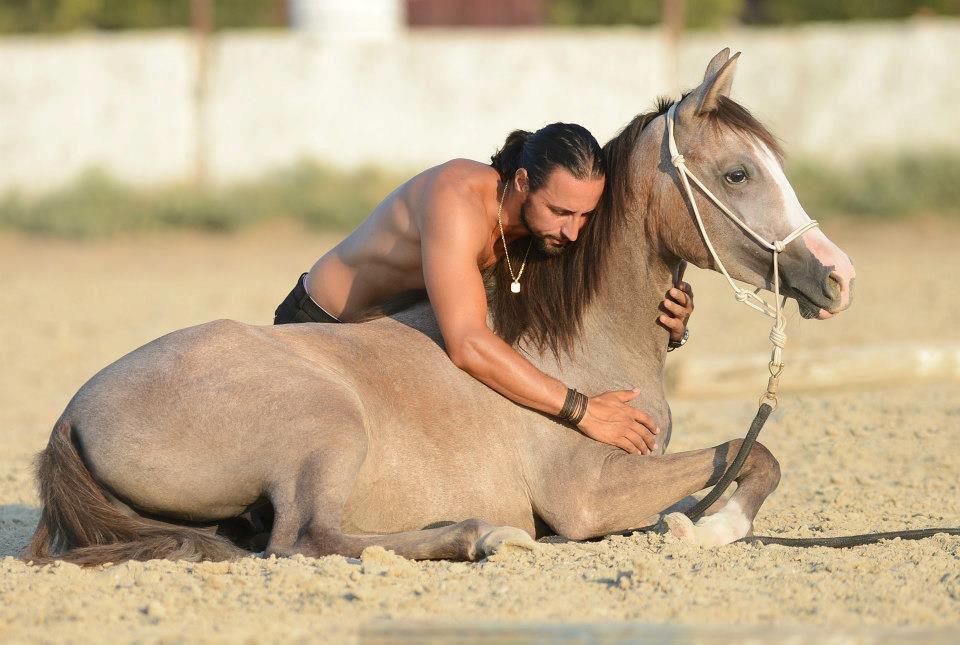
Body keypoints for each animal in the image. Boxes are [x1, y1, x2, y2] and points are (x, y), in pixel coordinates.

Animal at [28, 49, 856, 564]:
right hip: (324, 427)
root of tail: (73, 410)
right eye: (739, 171)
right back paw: (481, 535)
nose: (837, 276)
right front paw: (707, 529)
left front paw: (704, 522)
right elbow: (753, 450)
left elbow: (748, 456)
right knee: (304, 537)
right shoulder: (589, 494)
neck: (575, 341)